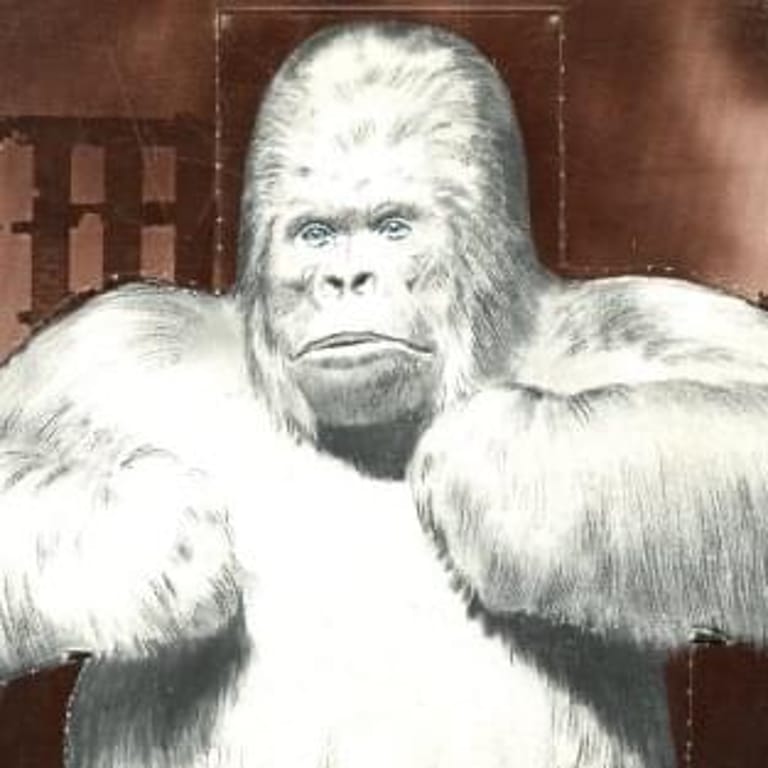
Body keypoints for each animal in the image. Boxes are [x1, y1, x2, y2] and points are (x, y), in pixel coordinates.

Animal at [1, 19, 768, 768]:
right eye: (315, 234)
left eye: (393, 227)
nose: (346, 280)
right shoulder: (116, 352)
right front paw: (137, 526)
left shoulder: (627, 328)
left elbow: (747, 409)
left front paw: (515, 459)